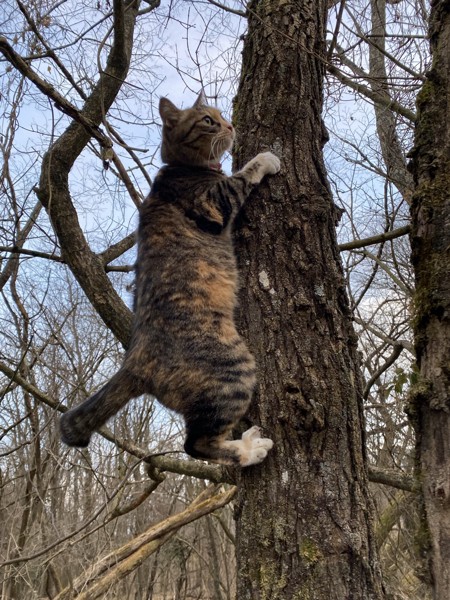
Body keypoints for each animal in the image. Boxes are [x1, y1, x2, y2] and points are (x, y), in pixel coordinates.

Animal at [59, 92, 278, 468]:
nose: (230, 124)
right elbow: (243, 175)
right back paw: (249, 450)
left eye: (220, 114)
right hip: (233, 370)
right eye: (208, 120)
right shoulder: (217, 198)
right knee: (196, 445)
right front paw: (265, 158)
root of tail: (135, 360)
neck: (181, 168)